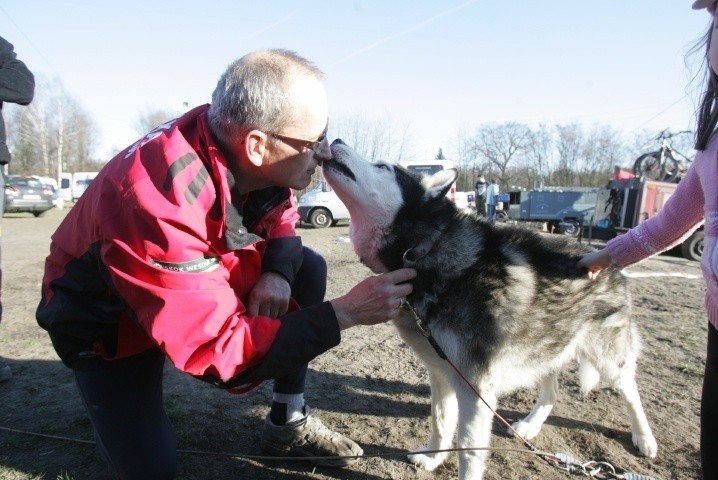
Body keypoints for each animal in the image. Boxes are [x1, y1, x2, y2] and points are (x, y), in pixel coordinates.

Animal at [324, 139, 660, 480]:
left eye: (383, 167)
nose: (335, 141)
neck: (425, 251)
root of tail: (605, 256)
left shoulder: (474, 386)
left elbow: (468, 448)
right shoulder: (441, 373)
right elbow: (441, 422)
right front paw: (432, 459)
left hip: (607, 359)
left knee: (631, 392)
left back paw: (644, 438)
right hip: (546, 347)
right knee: (552, 392)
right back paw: (529, 426)